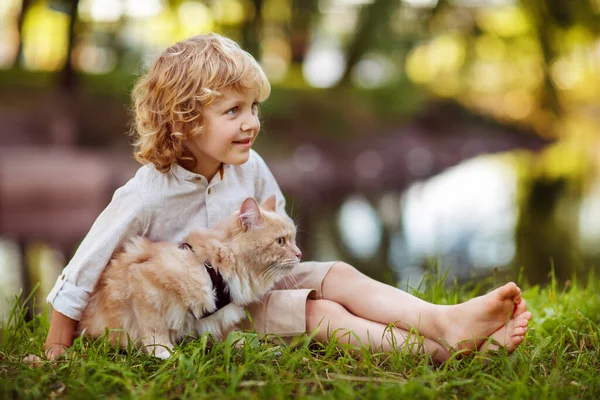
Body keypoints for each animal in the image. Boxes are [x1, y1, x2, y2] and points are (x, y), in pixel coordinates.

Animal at [77, 195, 300, 358]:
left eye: (293, 239)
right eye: (280, 241)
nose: (299, 254)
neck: (215, 265)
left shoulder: (221, 319)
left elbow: (240, 338)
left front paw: (264, 349)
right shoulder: (144, 281)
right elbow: (154, 329)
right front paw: (164, 353)